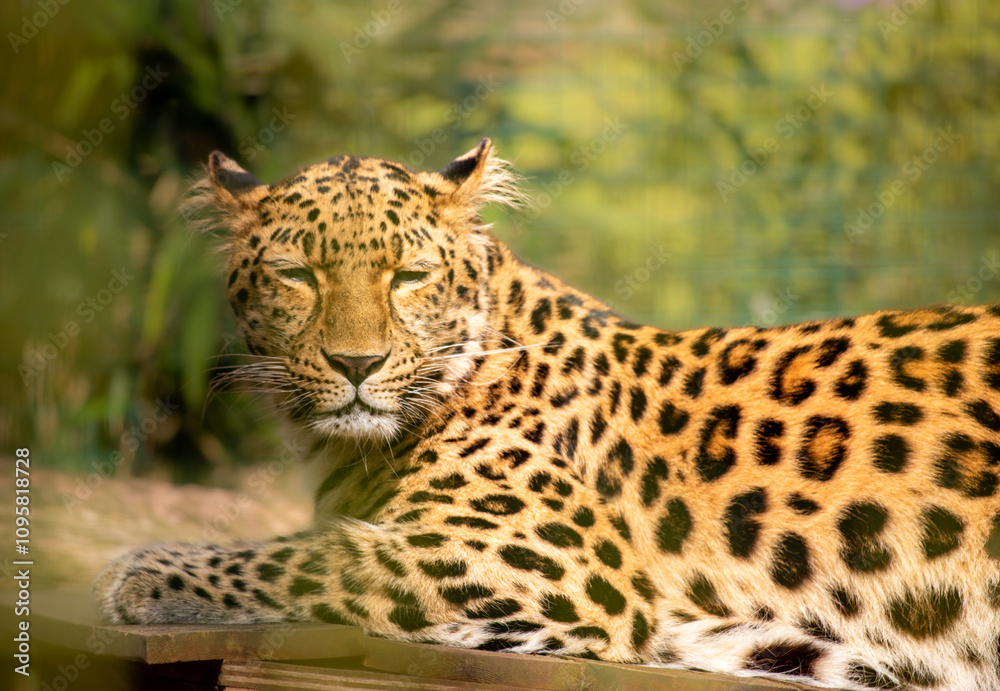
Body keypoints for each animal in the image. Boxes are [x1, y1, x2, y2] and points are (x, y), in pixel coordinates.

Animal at [94, 138, 1000, 690]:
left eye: (409, 275)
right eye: (298, 275)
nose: (357, 364)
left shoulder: (550, 561)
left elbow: (322, 557)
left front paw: (148, 574)